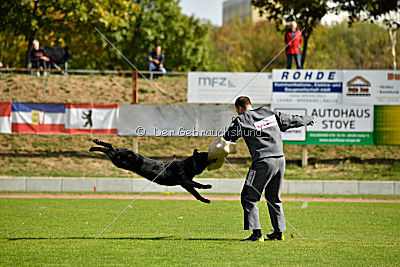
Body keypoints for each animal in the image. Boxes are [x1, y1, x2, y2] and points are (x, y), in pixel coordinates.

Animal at [89, 139, 217, 204]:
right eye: (204, 155)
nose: (210, 153)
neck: (189, 165)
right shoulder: (185, 181)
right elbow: (197, 186)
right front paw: (207, 188)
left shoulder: (186, 184)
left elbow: (196, 193)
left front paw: (204, 199)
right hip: (119, 161)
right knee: (109, 148)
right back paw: (95, 145)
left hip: (118, 158)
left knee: (110, 147)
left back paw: (95, 144)